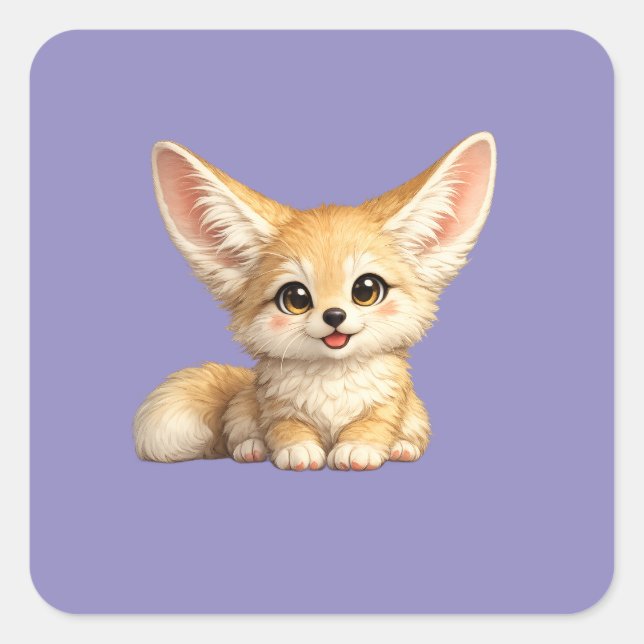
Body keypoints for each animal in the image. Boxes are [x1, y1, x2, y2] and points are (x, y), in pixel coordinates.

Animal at [133, 131, 496, 471]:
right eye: (295, 298)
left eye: (366, 290)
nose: (334, 315)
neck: (332, 381)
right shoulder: (276, 407)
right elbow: (287, 427)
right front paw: (297, 450)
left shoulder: (389, 405)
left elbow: (372, 425)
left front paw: (358, 449)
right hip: (242, 407)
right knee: (239, 430)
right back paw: (251, 447)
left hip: (417, 415)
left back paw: (403, 448)